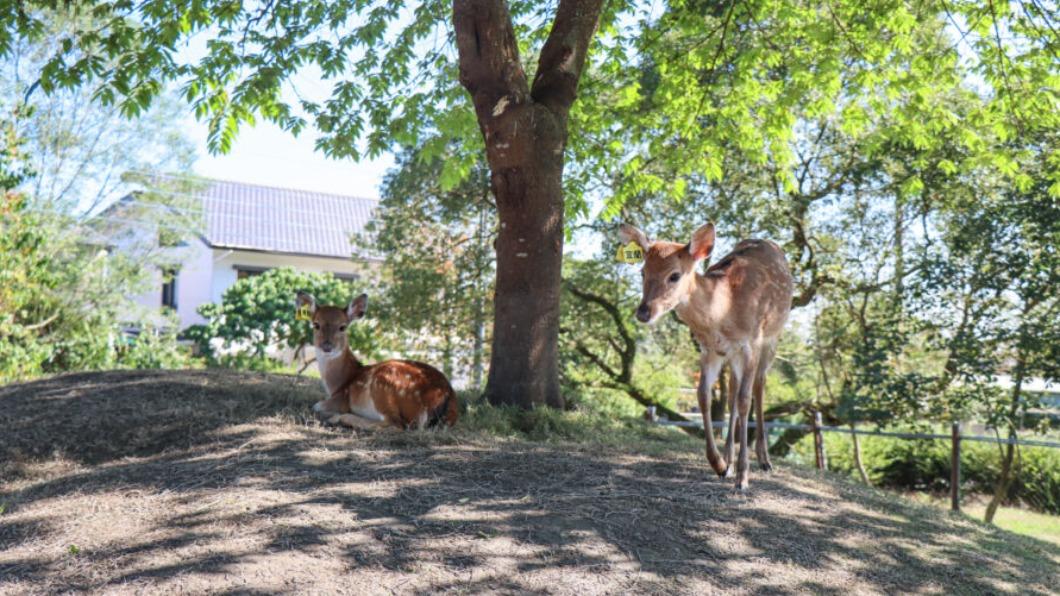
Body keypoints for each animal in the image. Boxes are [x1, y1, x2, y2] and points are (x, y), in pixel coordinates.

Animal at [295, 291, 459, 430]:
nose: (327, 346)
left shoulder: (341, 400)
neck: (340, 383)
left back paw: (338, 418)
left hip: (384, 384)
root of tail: (447, 396)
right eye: (316, 324)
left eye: (343, 327)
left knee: (396, 424)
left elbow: (316, 405)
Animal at [619, 222, 793, 490]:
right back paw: (729, 458)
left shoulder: (751, 342)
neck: (724, 311)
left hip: (773, 337)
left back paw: (764, 460)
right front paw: (720, 465)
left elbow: (745, 400)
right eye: (642, 271)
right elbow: (703, 396)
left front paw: (743, 477)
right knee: (732, 392)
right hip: (733, 356)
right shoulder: (710, 350)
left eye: (674, 275)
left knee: (759, 385)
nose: (643, 312)